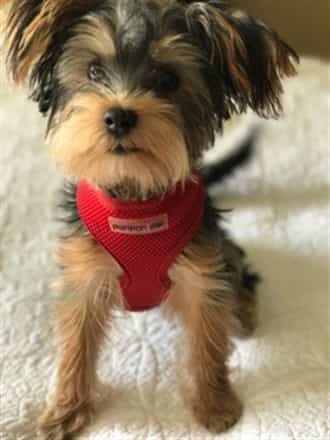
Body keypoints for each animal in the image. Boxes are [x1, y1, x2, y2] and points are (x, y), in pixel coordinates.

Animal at [0, 1, 300, 438]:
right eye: (93, 71)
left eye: (168, 80)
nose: (119, 116)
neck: (136, 198)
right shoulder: (85, 274)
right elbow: (76, 343)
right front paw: (66, 410)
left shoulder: (201, 271)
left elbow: (208, 339)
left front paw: (215, 403)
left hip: (220, 250)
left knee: (239, 272)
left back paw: (242, 312)